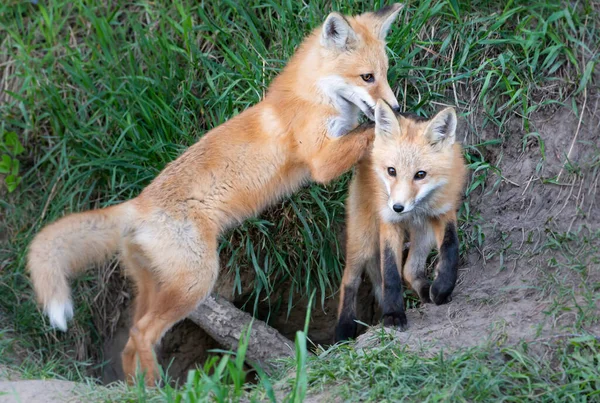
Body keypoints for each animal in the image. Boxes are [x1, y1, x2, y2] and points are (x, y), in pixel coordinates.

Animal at [27, 5, 404, 386]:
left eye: (385, 73)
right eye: (367, 77)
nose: (396, 105)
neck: (314, 97)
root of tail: (138, 204)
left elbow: (361, 132)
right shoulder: (321, 163)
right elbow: (364, 132)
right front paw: (392, 125)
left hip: (156, 287)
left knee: (130, 344)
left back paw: (139, 390)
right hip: (196, 282)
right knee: (141, 334)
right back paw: (158, 388)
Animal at [336, 100, 466, 340]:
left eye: (420, 174)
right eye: (391, 171)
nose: (398, 207)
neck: (416, 209)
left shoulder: (443, 211)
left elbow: (451, 248)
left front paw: (442, 288)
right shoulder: (389, 222)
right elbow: (390, 273)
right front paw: (393, 315)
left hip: (424, 232)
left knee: (410, 269)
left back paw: (426, 291)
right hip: (363, 238)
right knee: (350, 279)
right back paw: (343, 332)